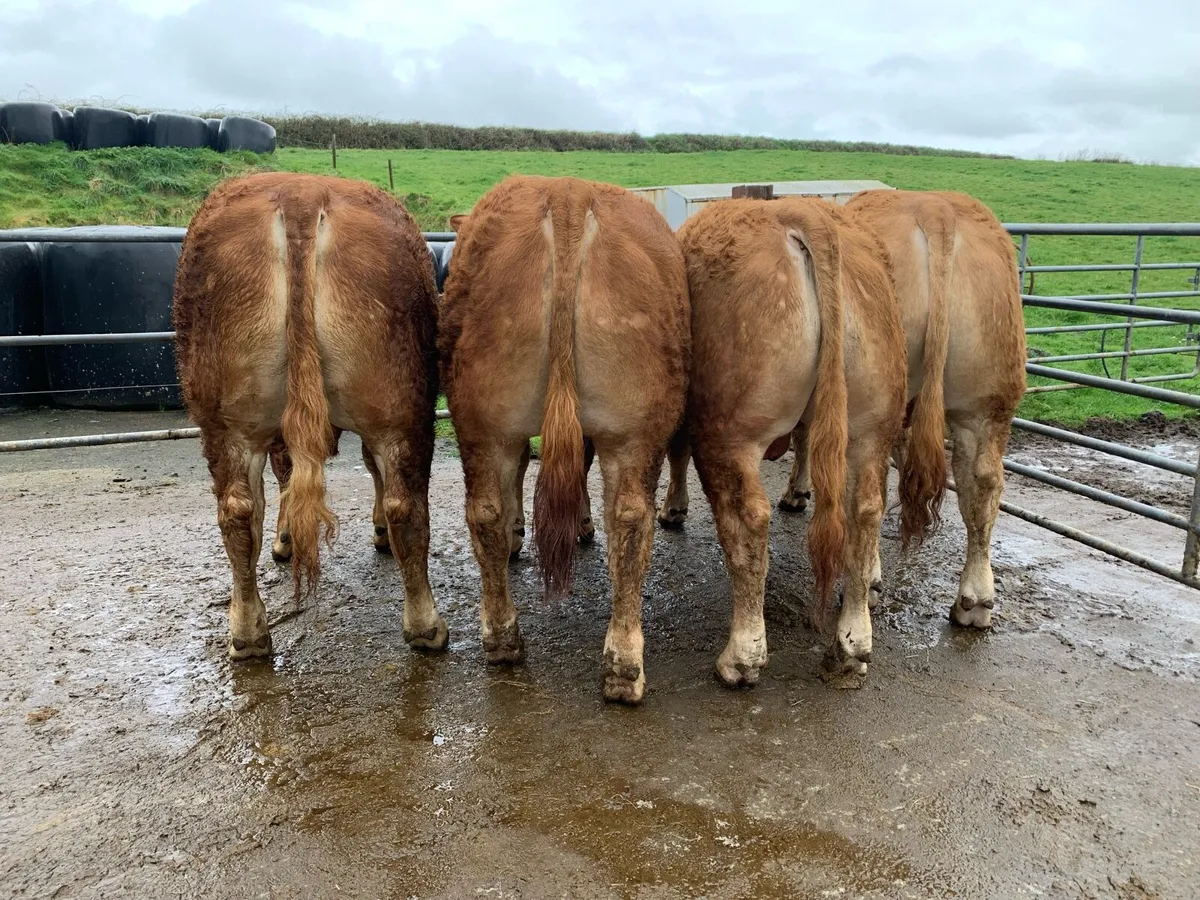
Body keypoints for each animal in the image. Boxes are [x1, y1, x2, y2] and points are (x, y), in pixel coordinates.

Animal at [438, 174, 690, 705]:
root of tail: (568, 193)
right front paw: (579, 525)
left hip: (483, 422)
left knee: (485, 512)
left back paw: (504, 639)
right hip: (634, 431)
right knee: (631, 522)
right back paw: (624, 664)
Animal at [658, 196, 942, 686]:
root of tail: (799, 214)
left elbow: (677, 453)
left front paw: (672, 508)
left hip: (728, 433)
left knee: (748, 520)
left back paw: (742, 656)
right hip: (870, 425)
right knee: (865, 509)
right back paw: (852, 644)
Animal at [775, 190, 1026, 628]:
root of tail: (935, 209)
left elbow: (806, 437)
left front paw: (797, 491)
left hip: (877, 397)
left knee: (866, 490)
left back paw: (869, 582)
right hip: (986, 400)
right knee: (983, 483)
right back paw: (975, 598)